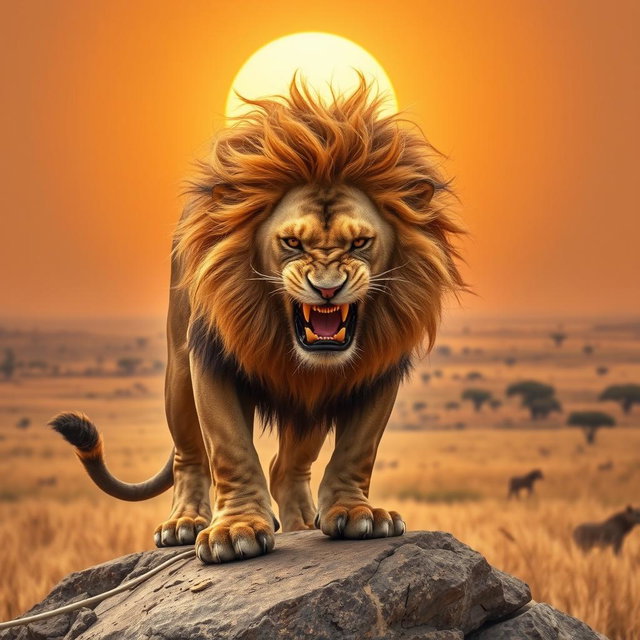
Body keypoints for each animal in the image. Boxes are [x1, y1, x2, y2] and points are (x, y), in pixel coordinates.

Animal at [50, 76, 465, 564]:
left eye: (361, 242)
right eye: (291, 242)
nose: (328, 288)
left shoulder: (378, 369)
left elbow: (357, 448)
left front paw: (356, 513)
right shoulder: (211, 357)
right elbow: (230, 449)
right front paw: (236, 530)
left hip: (309, 404)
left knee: (286, 465)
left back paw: (303, 522)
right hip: (178, 373)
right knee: (188, 455)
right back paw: (184, 522)